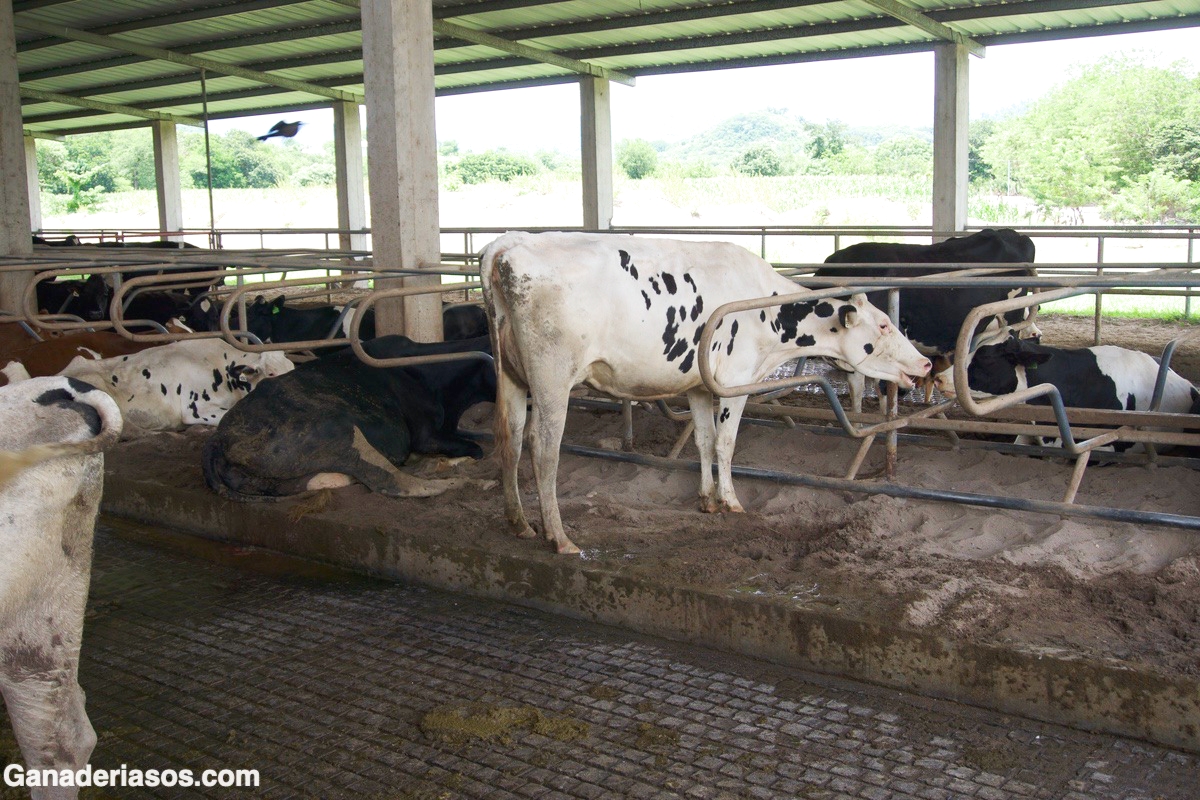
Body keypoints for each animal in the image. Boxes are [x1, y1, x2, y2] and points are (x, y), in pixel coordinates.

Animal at [204, 333, 494, 501]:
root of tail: (218, 439)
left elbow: (483, 436)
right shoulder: (426, 435)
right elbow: (477, 449)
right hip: (341, 431)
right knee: (395, 483)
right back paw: (477, 481)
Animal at [477, 231, 926, 554]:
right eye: (884, 324)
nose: (923, 364)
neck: (766, 306)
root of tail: (508, 243)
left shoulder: (696, 385)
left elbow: (704, 441)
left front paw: (707, 500)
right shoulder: (735, 381)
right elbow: (726, 443)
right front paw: (731, 501)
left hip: (512, 376)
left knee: (511, 439)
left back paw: (519, 524)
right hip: (552, 379)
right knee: (543, 448)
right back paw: (559, 537)